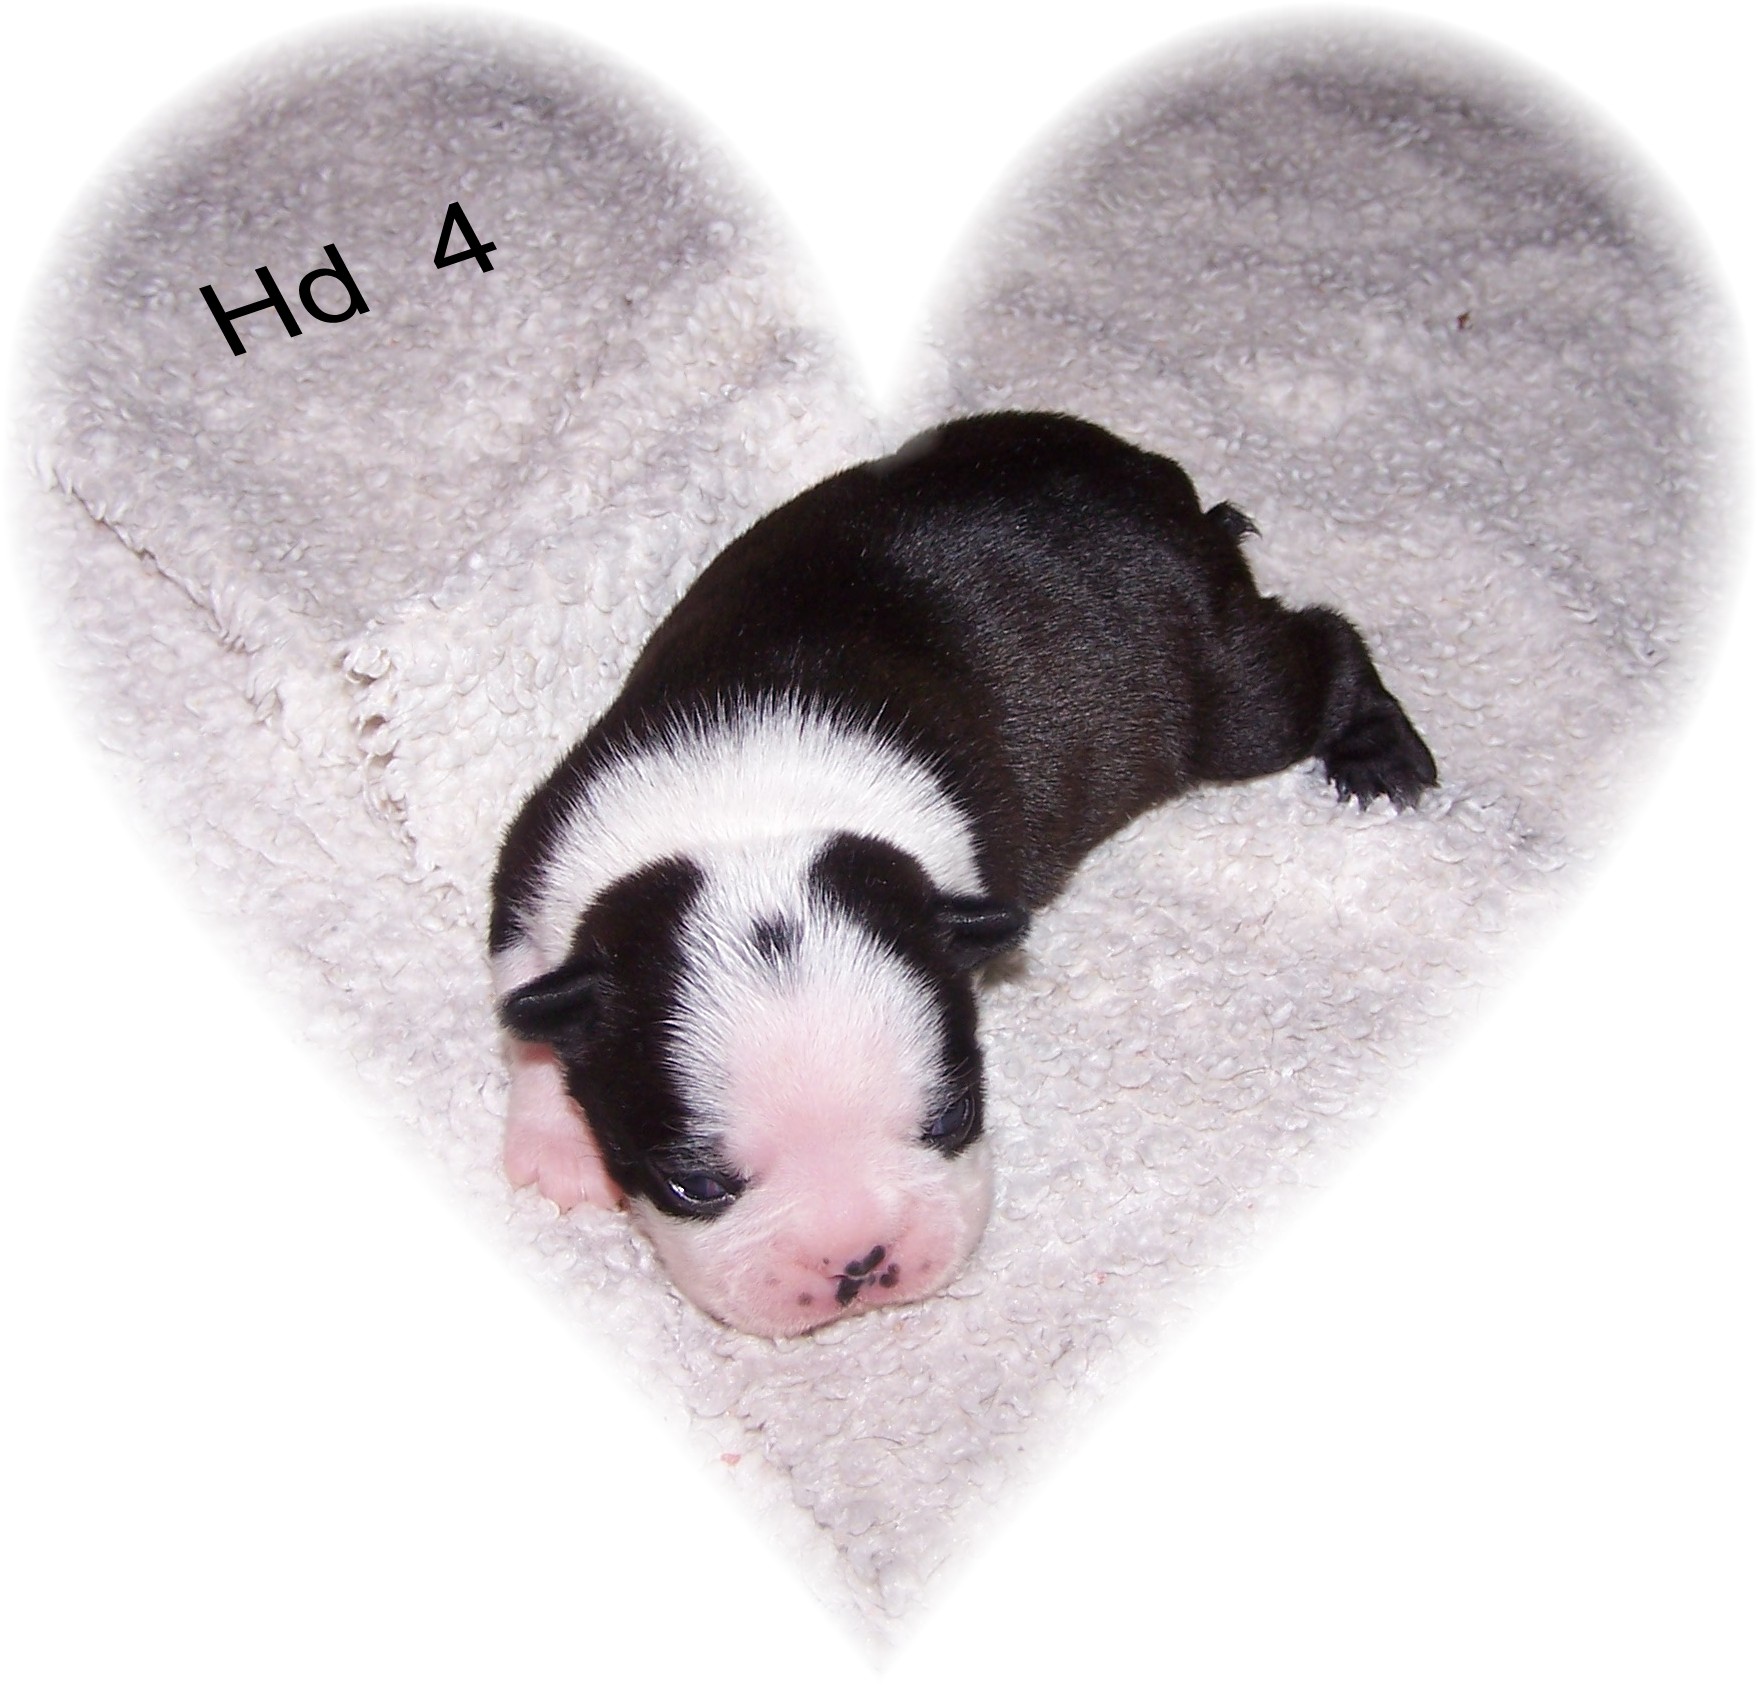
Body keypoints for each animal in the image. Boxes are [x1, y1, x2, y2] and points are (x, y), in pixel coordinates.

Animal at [489, 411, 1437, 1336]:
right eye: (695, 1186)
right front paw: (556, 1139)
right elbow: (528, 995)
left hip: (1220, 687)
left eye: (954, 1117)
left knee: (1313, 653)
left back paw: (1377, 751)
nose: (858, 1260)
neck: (750, 823)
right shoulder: (537, 862)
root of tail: (1162, 490)